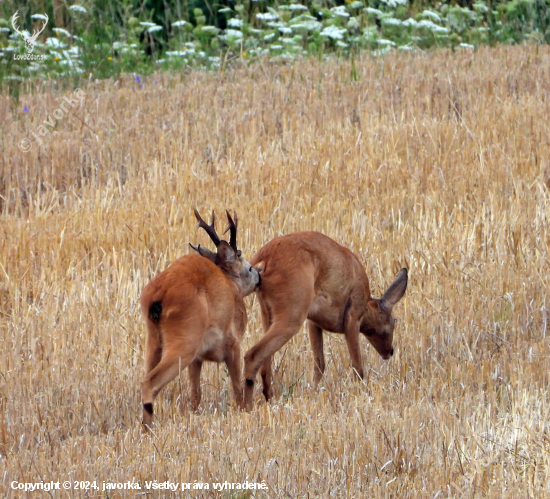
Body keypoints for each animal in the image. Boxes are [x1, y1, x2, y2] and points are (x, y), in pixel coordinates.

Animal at [138, 210, 258, 426]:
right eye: (249, 267)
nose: (260, 276)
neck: (231, 286)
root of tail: (159, 295)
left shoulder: (197, 358)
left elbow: (195, 396)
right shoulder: (233, 343)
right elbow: (238, 388)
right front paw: (244, 411)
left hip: (154, 341)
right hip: (184, 340)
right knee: (149, 382)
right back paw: (149, 427)